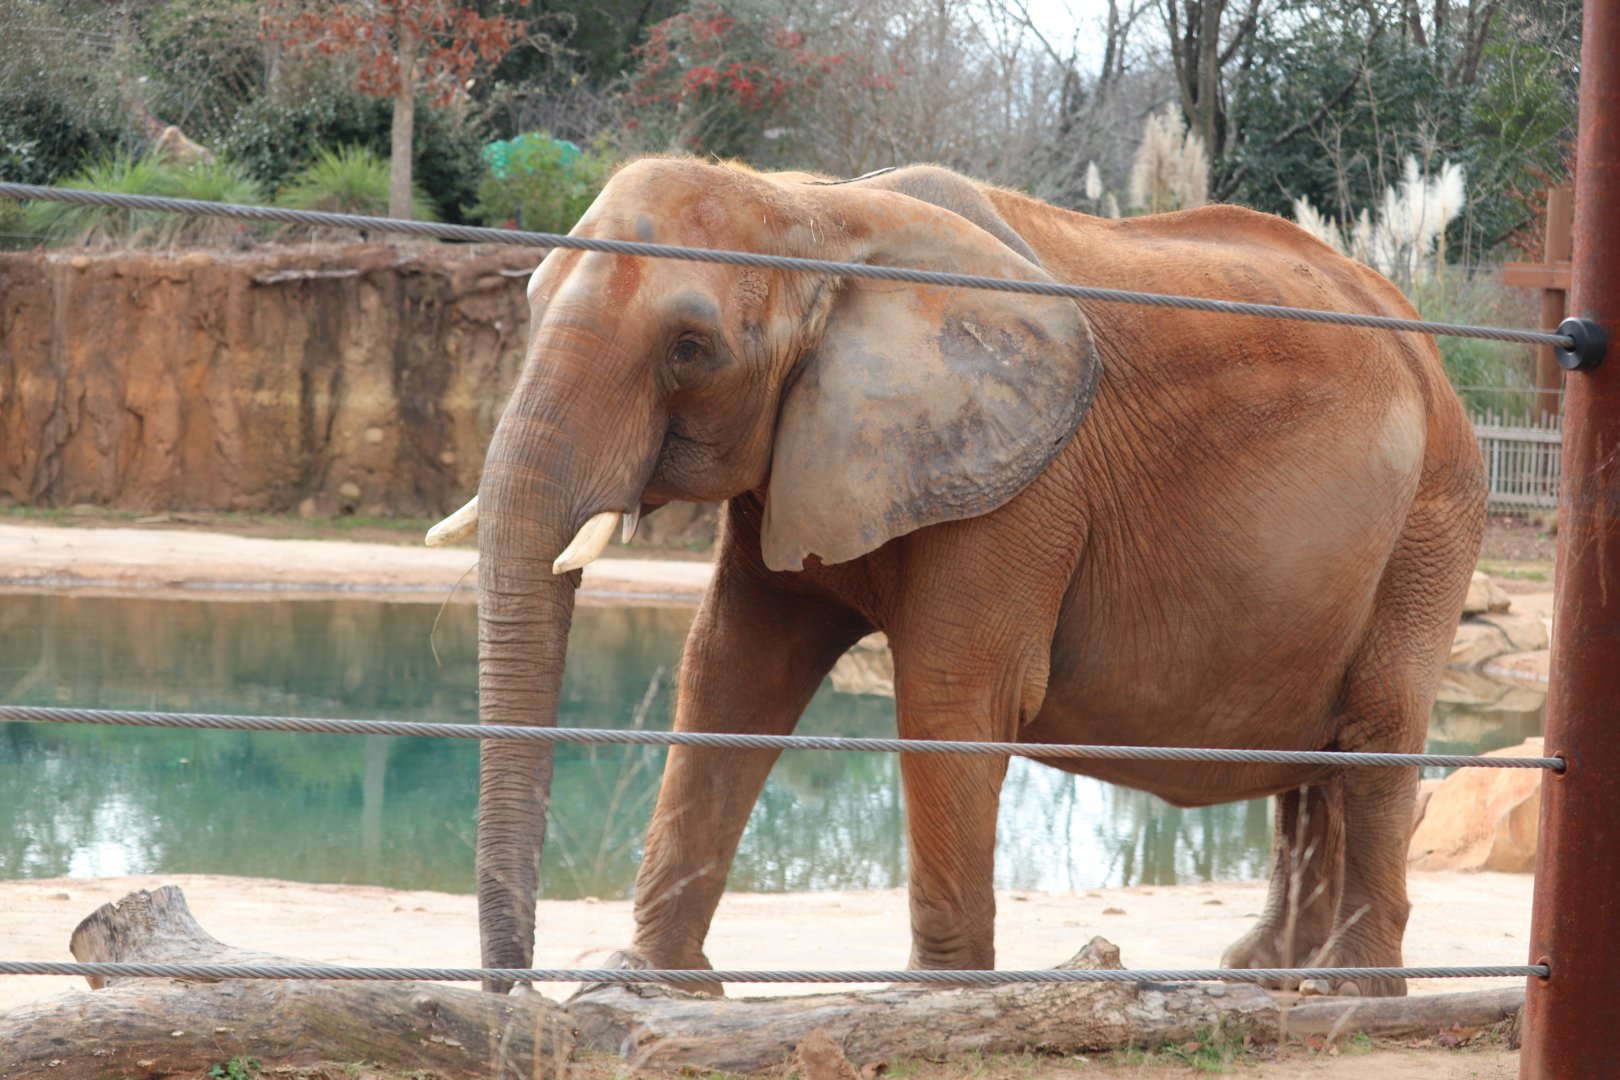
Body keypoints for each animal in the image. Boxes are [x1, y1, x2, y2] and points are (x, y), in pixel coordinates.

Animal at [429, 157, 1486, 999]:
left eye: (691, 349)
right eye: (528, 305)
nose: (516, 994)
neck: (815, 210)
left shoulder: (1028, 480)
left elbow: (952, 695)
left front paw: (930, 1004)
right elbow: (732, 670)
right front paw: (639, 988)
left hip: (1433, 521)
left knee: (1376, 733)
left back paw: (1351, 993)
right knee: (1321, 754)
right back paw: (1268, 978)